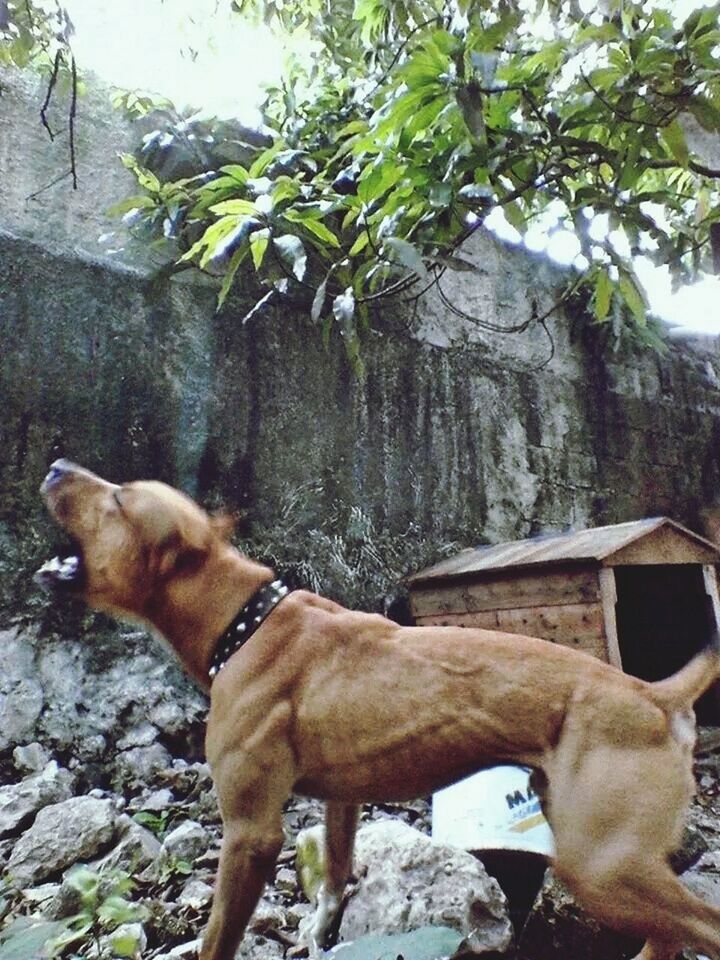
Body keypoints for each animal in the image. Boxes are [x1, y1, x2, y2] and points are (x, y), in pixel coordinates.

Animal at [35, 462, 720, 956]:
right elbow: (334, 877)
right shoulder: (343, 799)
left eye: (119, 501)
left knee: (698, 926)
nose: (56, 465)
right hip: (617, 867)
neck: (245, 620)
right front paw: (321, 930)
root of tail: (655, 696)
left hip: (602, 867)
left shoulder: (250, 833)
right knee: (668, 936)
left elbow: (216, 940)